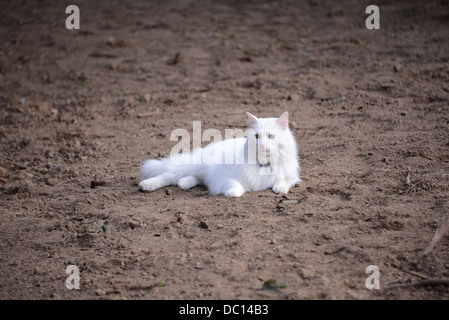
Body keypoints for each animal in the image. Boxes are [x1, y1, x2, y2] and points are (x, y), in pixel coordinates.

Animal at [139, 112, 300, 198]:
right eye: (257, 136)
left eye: (271, 136)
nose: (262, 145)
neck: (264, 164)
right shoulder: (231, 178)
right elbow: (234, 185)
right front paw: (233, 193)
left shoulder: (290, 176)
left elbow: (283, 182)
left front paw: (279, 188)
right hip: (188, 167)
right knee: (165, 177)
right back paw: (146, 185)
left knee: (197, 179)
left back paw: (184, 183)